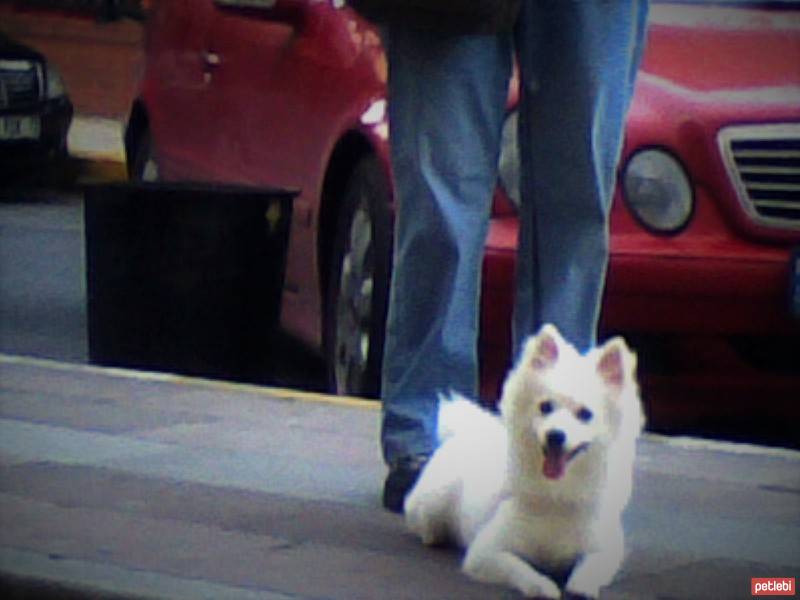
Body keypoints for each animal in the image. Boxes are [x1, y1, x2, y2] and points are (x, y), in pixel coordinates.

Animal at [406, 326, 644, 596]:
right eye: (545, 407)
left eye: (585, 414)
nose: (555, 435)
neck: (557, 496)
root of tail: (467, 432)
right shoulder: (486, 552)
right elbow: (521, 569)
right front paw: (544, 587)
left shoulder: (604, 550)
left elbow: (589, 569)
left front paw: (581, 588)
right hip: (434, 502)